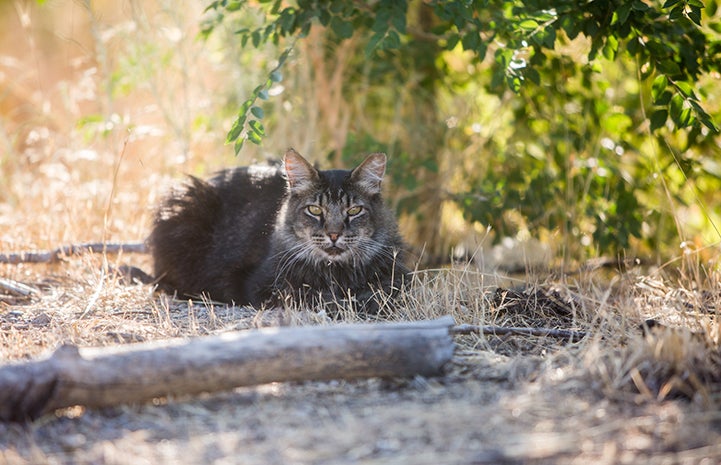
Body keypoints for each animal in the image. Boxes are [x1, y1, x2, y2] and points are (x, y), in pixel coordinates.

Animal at [149, 149, 408, 314]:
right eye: (315, 209)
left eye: (354, 210)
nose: (334, 234)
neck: (337, 272)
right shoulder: (262, 285)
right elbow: (314, 296)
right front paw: (342, 302)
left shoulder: (399, 277)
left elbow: (383, 292)